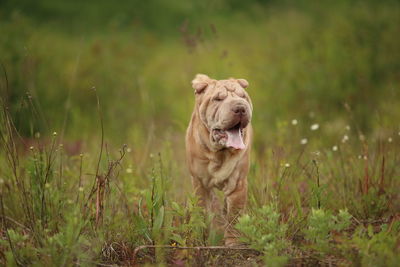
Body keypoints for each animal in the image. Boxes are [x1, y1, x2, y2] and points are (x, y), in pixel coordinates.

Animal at [185, 74, 253, 247]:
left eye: (243, 97)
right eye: (218, 99)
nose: (240, 108)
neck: (219, 153)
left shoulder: (237, 184)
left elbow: (234, 216)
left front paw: (234, 242)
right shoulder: (200, 183)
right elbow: (202, 211)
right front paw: (202, 238)